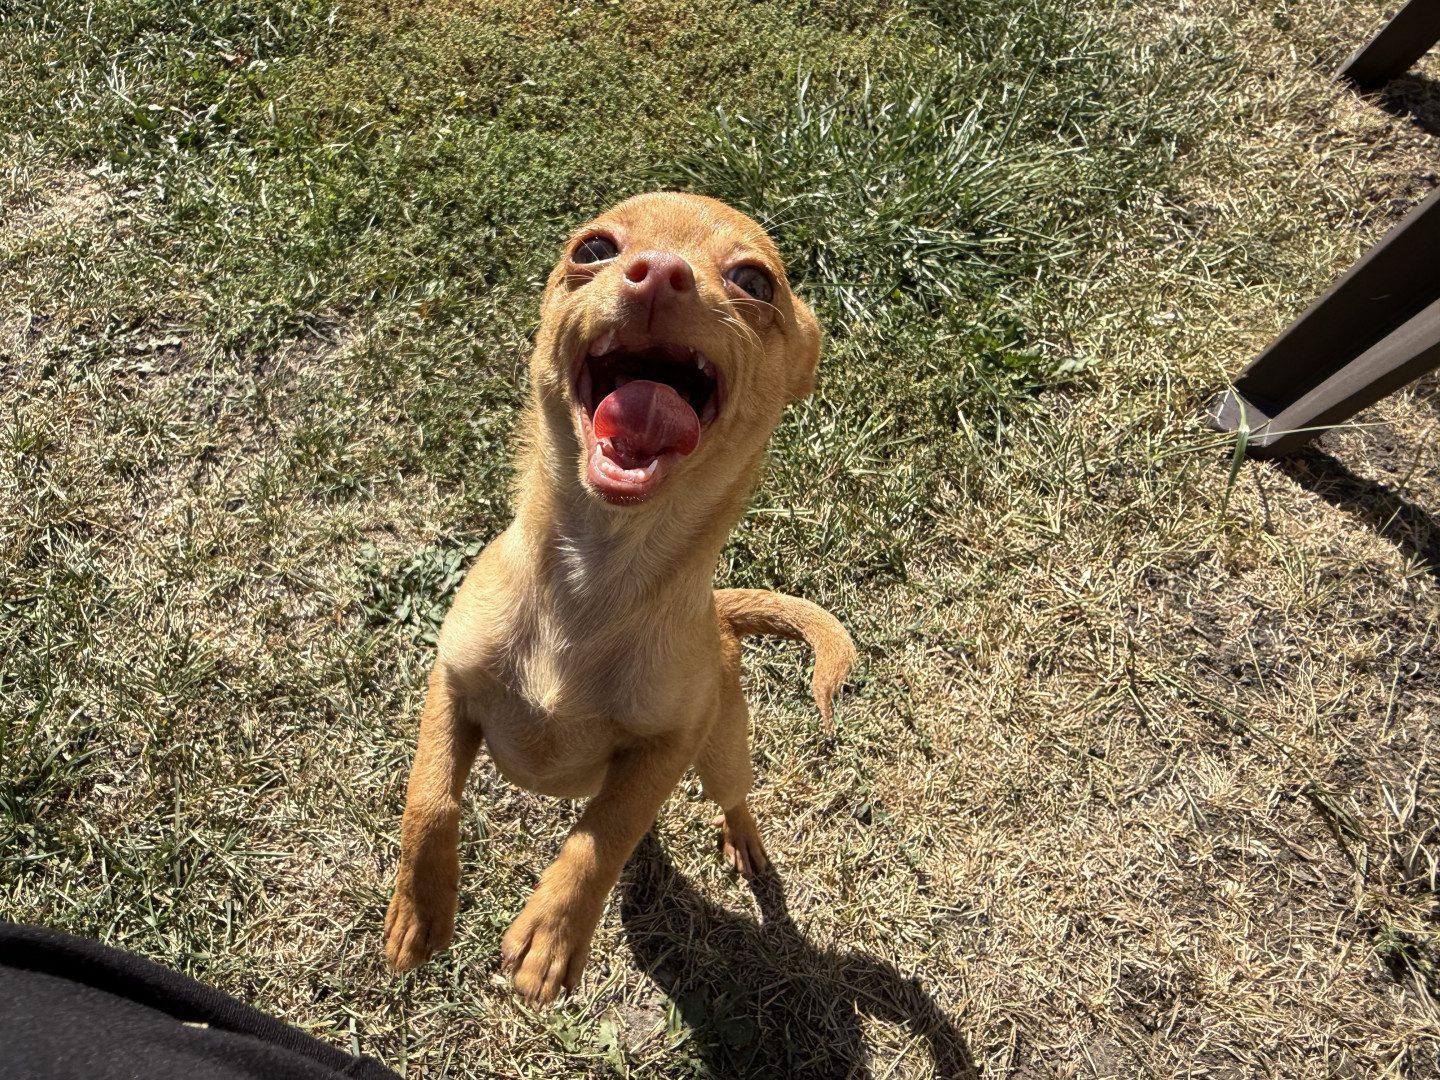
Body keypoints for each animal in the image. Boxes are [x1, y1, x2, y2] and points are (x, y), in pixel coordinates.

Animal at [382, 192, 855, 1006]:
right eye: (594, 248)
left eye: (755, 283)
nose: (660, 272)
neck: (592, 576)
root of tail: (719, 618)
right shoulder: (451, 683)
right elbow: (429, 797)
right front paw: (420, 910)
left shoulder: (668, 746)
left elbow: (604, 835)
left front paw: (551, 932)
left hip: (723, 745)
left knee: (725, 796)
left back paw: (743, 837)